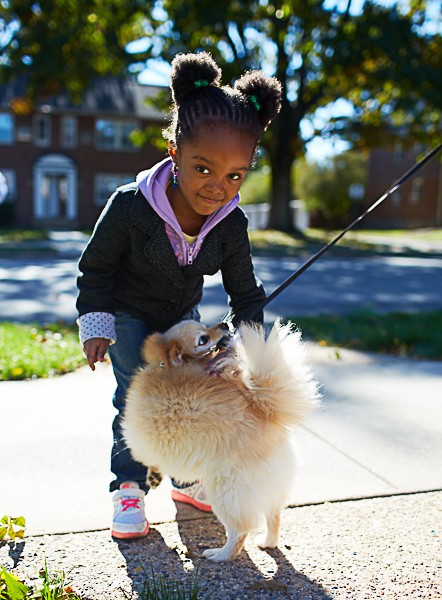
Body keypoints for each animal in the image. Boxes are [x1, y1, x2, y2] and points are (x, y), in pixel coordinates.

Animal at [122, 322, 320, 560]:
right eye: (203, 338)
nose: (225, 324)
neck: (163, 366)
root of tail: (265, 412)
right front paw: (155, 476)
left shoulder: (145, 438)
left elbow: (150, 457)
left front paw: (154, 474)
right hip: (269, 488)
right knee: (274, 516)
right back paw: (267, 543)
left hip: (225, 489)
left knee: (240, 530)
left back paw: (220, 555)